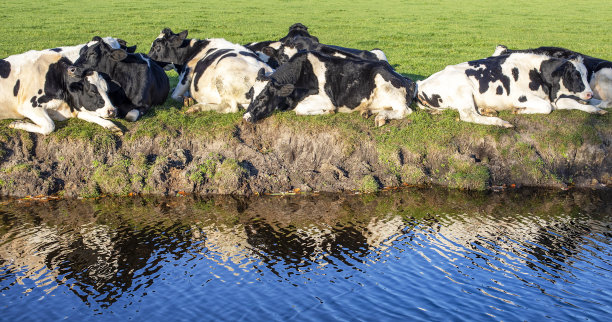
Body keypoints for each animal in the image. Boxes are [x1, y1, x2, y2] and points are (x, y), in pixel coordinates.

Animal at [241, 51, 418, 126]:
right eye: (250, 95)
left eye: (263, 97)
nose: (246, 117)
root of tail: (408, 81)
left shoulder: (325, 100)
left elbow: (299, 110)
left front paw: (328, 112)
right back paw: (368, 112)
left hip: (389, 90)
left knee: (404, 111)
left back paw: (381, 118)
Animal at [416, 52, 604, 127]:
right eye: (574, 75)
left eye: (586, 74)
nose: (590, 93)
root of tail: (422, 83)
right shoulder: (519, 96)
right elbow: (546, 108)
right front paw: (520, 111)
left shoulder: (555, 98)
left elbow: (577, 104)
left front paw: (596, 108)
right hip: (463, 88)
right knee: (468, 115)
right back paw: (500, 122)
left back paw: (488, 110)